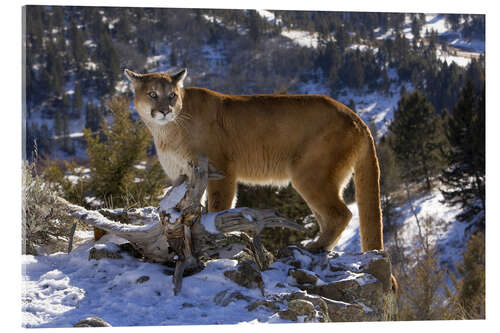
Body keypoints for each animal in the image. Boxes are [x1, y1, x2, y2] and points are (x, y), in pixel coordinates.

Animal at [124, 68, 382, 253]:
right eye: (152, 94)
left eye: (172, 95)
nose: (165, 110)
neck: (168, 130)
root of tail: (356, 117)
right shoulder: (185, 174)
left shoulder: (221, 168)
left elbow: (219, 205)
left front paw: (215, 232)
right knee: (327, 215)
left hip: (310, 173)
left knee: (341, 214)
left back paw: (316, 246)